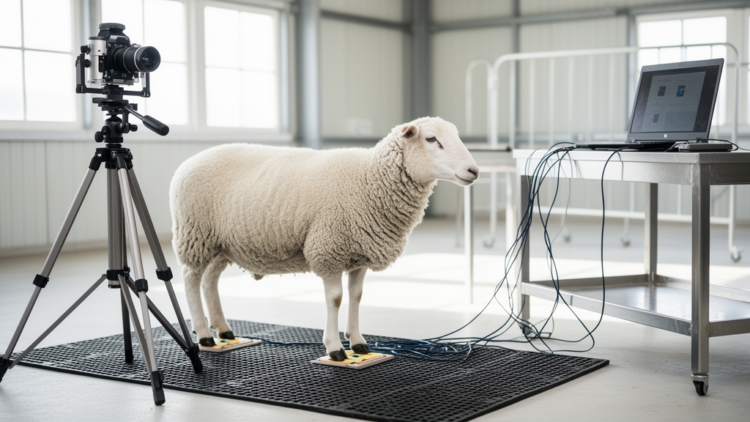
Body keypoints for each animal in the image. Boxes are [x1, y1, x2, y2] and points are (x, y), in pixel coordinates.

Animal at [169, 116, 479, 361]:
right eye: (431, 139)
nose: (474, 171)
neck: (369, 178)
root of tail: (187, 162)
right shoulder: (328, 249)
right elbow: (336, 298)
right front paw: (335, 349)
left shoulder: (358, 254)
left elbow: (357, 296)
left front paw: (358, 343)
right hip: (195, 235)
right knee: (191, 279)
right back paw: (204, 335)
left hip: (220, 243)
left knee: (210, 281)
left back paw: (222, 329)